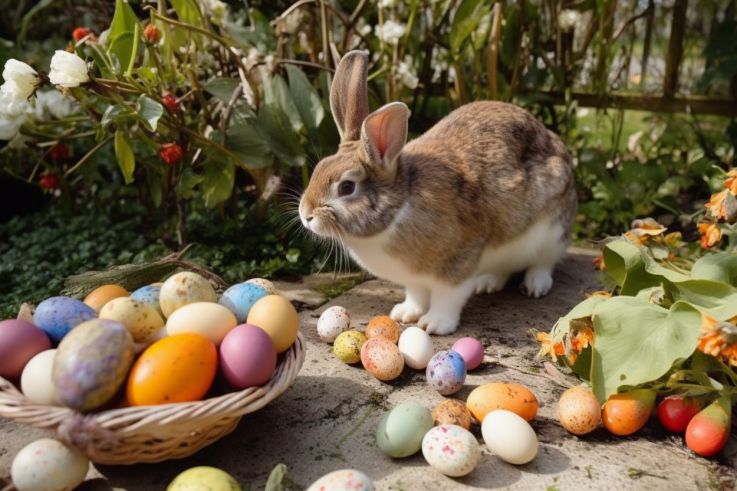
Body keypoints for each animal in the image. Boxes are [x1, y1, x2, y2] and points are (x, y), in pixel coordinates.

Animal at [299, 50, 577, 335]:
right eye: (318, 169)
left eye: (347, 187)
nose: (305, 215)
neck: (401, 205)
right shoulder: (415, 279)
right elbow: (417, 294)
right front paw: (405, 313)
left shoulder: (457, 264)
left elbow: (448, 297)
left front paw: (435, 324)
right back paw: (487, 283)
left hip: (552, 230)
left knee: (544, 262)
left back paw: (535, 286)